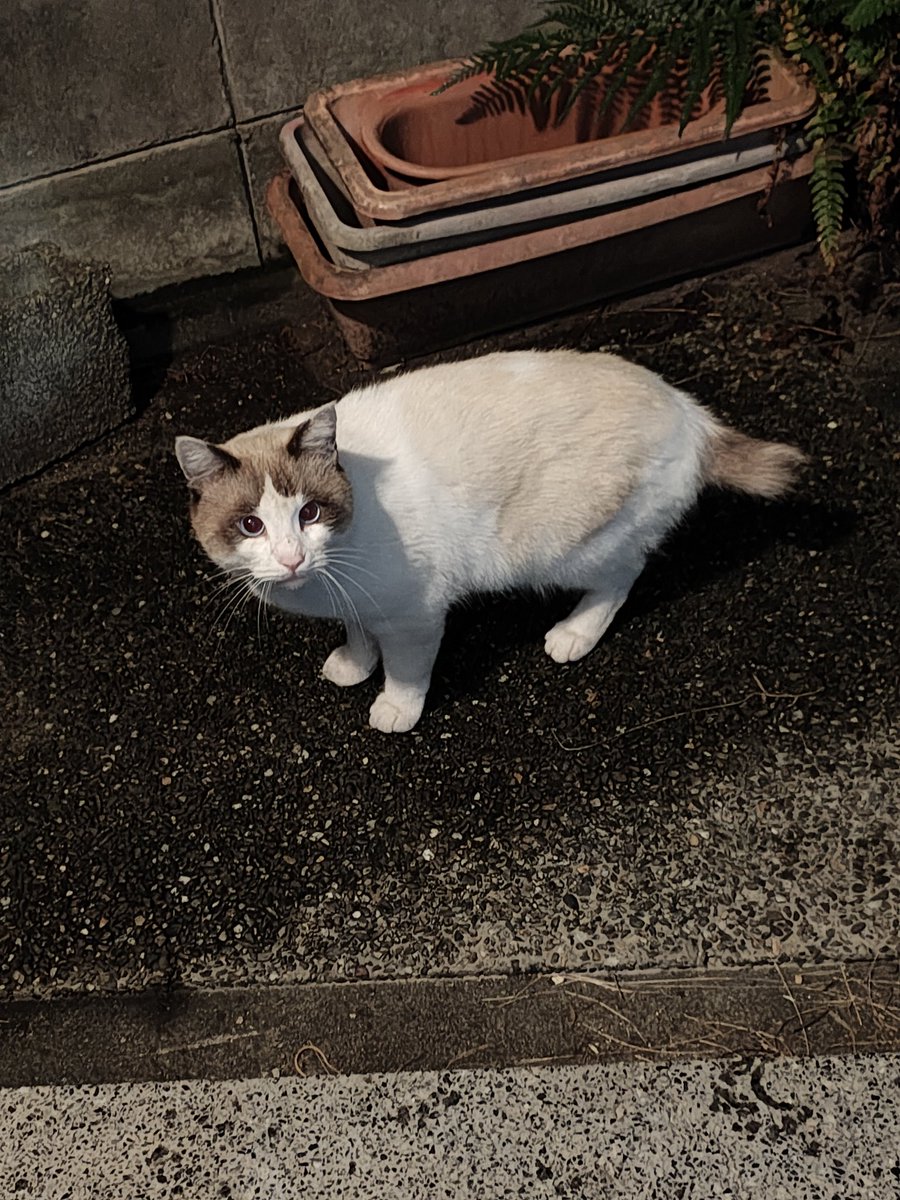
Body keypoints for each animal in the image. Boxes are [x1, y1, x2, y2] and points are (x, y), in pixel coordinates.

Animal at [174, 350, 801, 729]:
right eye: (251, 525)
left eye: (309, 513)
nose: (291, 557)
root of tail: (691, 412)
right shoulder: (359, 601)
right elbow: (359, 635)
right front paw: (354, 664)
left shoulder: (415, 615)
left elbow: (405, 670)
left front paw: (394, 708)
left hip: (562, 548)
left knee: (624, 575)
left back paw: (574, 634)